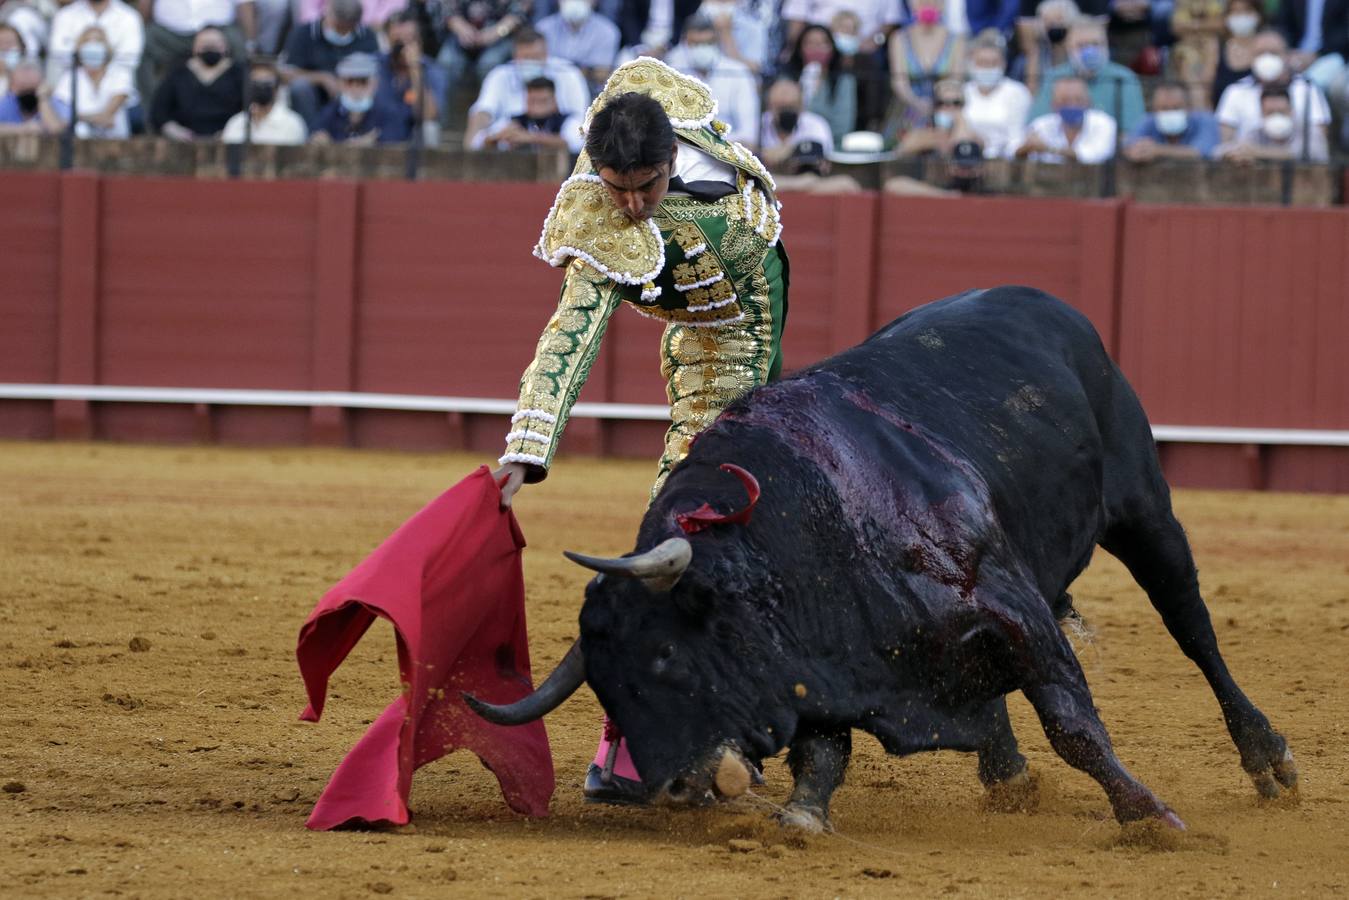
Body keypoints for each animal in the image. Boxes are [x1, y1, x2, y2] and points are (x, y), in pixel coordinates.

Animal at [466, 287, 1295, 831]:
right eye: (604, 686)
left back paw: (1268, 761)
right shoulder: (820, 661)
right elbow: (823, 747)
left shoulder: (1013, 604)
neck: (804, 523)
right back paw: (1005, 774)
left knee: (1192, 628)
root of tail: (1043, 303)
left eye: (667, 656)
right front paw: (800, 819)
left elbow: (1072, 723)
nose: (669, 788)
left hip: (1144, 513)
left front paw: (1148, 816)